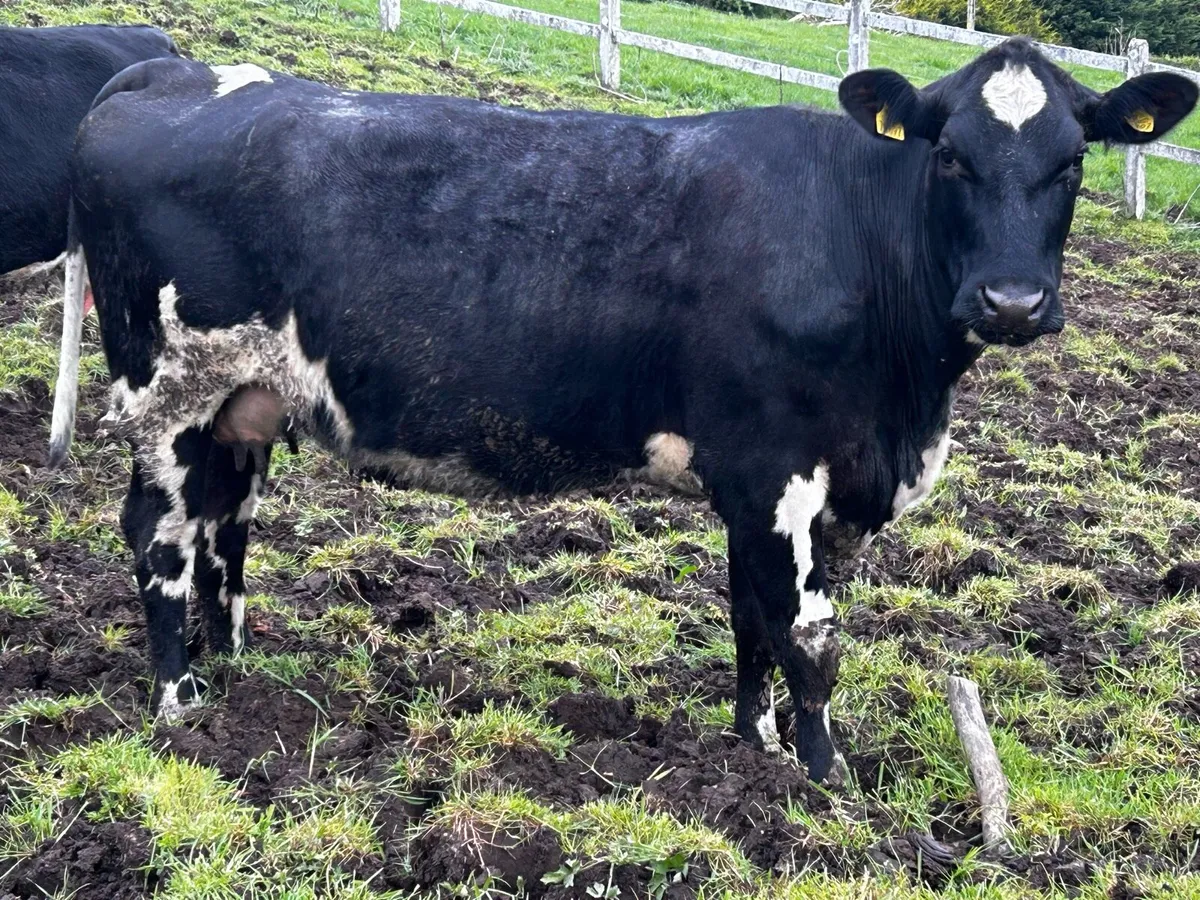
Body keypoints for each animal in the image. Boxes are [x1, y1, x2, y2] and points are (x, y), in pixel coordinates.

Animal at [49, 42, 1196, 784]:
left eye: (1074, 161)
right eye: (950, 153)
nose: (1012, 302)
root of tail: (166, 73)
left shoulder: (805, 484)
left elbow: (754, 620)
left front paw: (757, 745)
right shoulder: (779, 465)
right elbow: (809, 634)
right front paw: (826, 781)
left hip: (241, 401)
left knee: (224, 527)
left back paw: (236, 670)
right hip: (165, 388)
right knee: (159, 536)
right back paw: (179, 702)